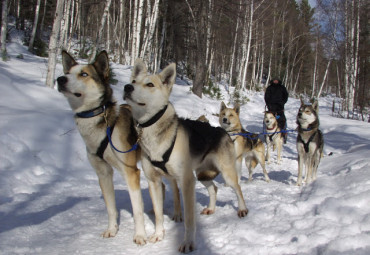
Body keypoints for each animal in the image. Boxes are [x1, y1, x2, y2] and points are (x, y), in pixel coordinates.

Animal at [56, 50, 146, 244]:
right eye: (67, 72)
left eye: (84, 74)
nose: (60, 79)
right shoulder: (103, 173)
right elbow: (111, 208)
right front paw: (112, 230)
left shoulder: (130, 172)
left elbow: (137, 210)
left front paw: (140, 235)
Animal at [124, 59, 249, 253]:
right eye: (134, 81)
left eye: (150, 84)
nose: (127, 87)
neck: (153, 132)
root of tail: (223, 131)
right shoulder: (154, 182)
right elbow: (158, 214)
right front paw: (158, 234)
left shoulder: (186, 181)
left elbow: (189, 219)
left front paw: (188, 242)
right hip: (202, 174)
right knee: (214, 189)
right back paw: (211, 208)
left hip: (226, 174)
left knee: (238, 189)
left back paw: (242, 209)